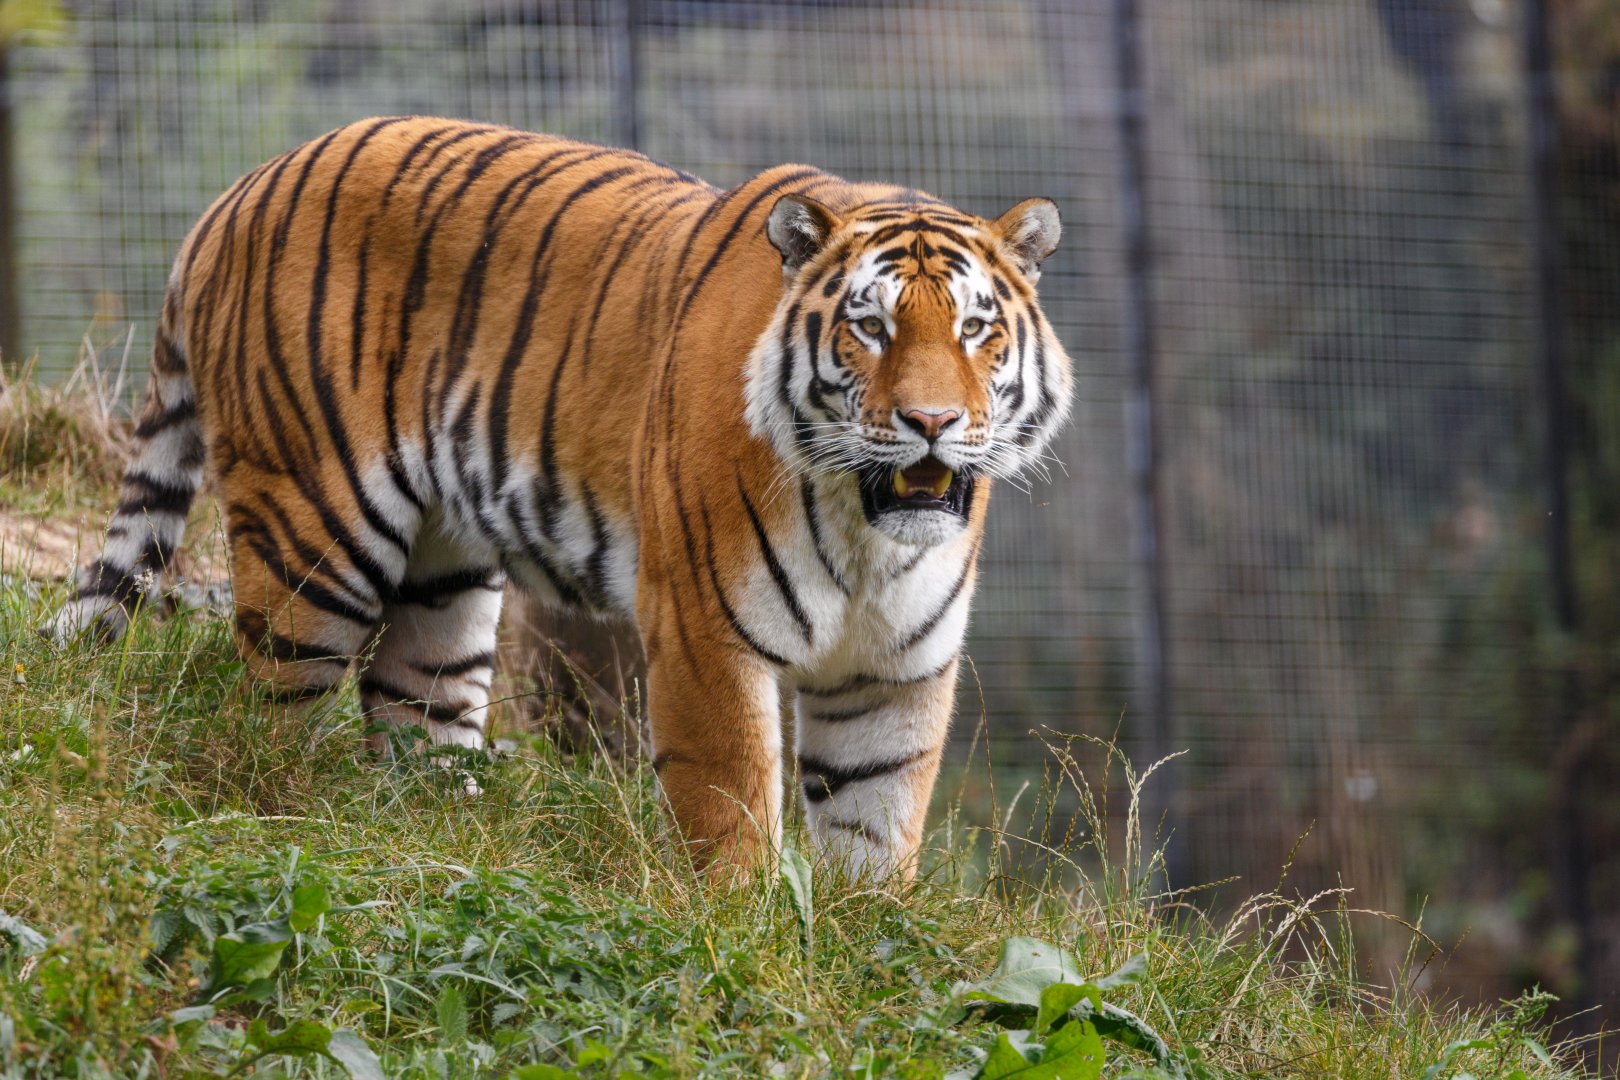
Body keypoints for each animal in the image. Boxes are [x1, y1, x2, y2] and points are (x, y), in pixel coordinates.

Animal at [50, 116, 1073, 878]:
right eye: (870, 328)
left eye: (975, 329)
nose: (932, 422)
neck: (868, 532)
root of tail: (237, 191)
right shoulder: (705, 630)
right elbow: (732, 808)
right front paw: (745, 938)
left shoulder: (896, 669)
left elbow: (878, 827)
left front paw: (866, 947)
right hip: (313, 539)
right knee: (267, 717)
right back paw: (292, 829)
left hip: (445, 575)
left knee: (414, 714)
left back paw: (447, 846)